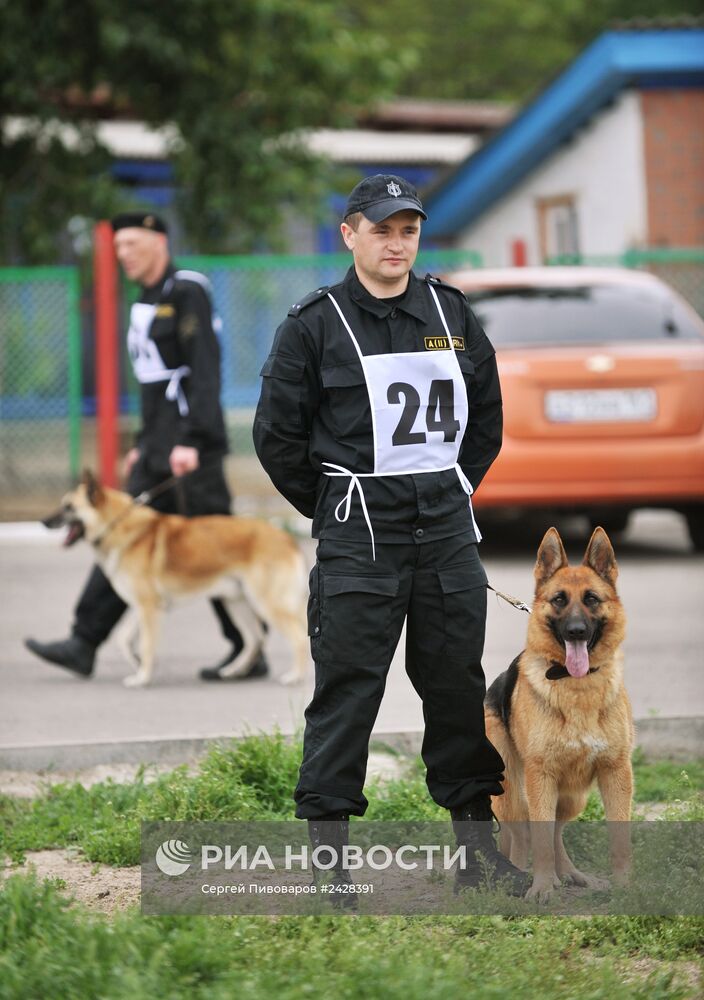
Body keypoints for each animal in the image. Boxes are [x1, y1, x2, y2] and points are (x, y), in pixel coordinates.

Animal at [44, 474, 308, 688]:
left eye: (68, 507)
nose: (44, 522)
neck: (117, 525)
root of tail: (286, 538)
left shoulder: (148, 608)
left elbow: (146, 644)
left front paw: (143, 677)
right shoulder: (144, 607)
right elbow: (124, 639)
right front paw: (138, 663)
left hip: (266, 603)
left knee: (297, 637)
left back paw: (295, 676)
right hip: (236, 603)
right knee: (255, 640)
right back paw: (233, 671)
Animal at [486, 528, 636, 904]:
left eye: (592, 599)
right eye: (558, 600)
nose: (576, 631)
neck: (575, 686)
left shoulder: (616, 773)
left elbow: (619, 839)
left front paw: (625, 887)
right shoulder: (540, 777)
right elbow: (538, 840)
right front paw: (540, 887)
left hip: (572, 797)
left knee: (555, 831)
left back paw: (567, 874)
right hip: (514, 794)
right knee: (523, 835)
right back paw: (519, 875)